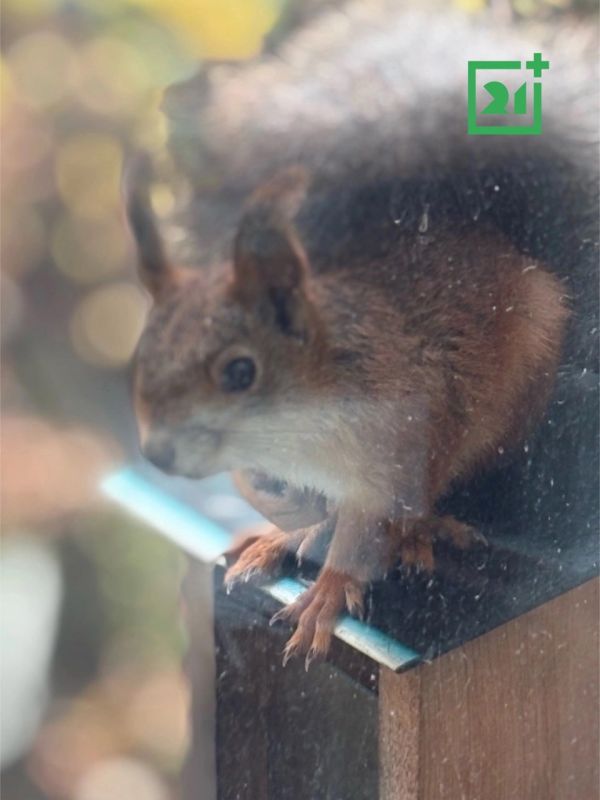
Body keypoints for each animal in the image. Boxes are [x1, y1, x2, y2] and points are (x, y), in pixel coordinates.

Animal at [125, 3, 597, 666]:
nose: (158, 453)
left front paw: (328, 595)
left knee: (437, 493)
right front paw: (284, 525)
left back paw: (424, 530)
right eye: (142, 356)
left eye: (240, 371)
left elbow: (366, 529)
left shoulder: (393, 445)